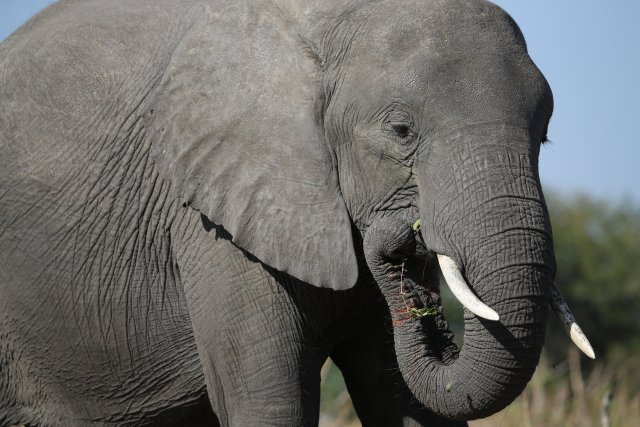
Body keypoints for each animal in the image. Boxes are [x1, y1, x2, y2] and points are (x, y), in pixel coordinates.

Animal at [1, 0, 596, 426]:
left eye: (544, 132)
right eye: (401, 131)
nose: (402, 241)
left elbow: (407, 403)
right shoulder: (213, 218)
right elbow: (271, 403)